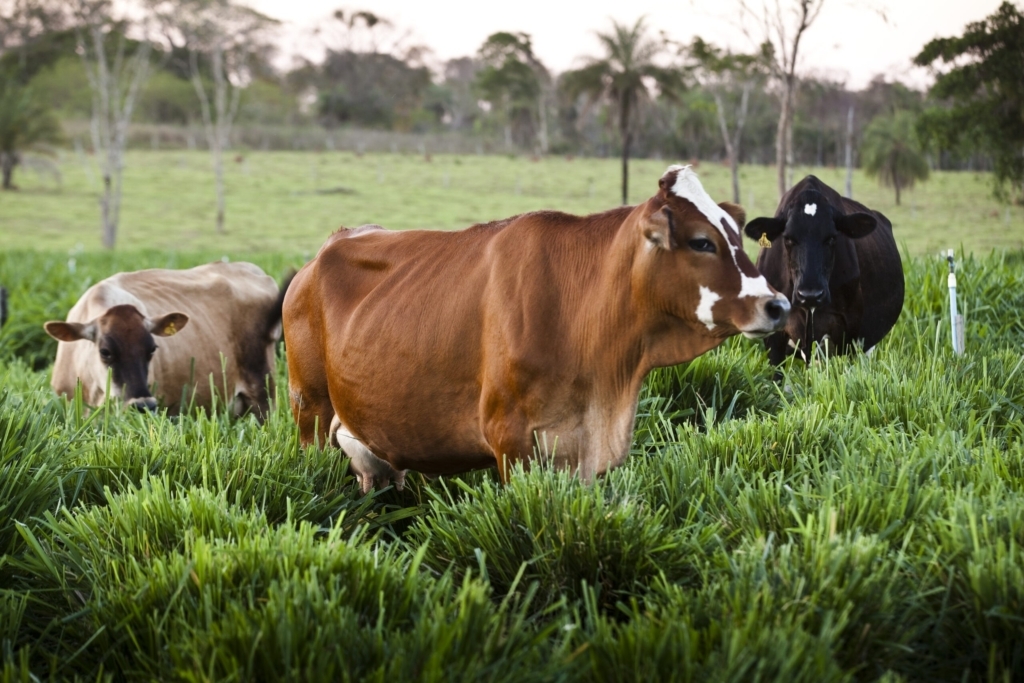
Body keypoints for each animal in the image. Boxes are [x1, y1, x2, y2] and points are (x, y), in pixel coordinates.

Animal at [284, 165, 786, 483]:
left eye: (737, 236)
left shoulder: (580, 455)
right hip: (310, 409)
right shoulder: (509, 438)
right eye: (702, 242)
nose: (777, 304)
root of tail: (326, 248)